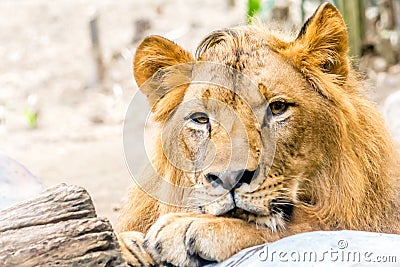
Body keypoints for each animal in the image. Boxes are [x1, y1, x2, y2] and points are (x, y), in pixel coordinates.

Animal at [118, 2, 400, 267]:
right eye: (201, 119)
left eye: (277, 108)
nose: (229, 178)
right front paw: (129, 246)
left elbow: (307, 222)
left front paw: (187, 225)